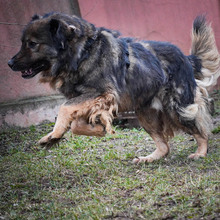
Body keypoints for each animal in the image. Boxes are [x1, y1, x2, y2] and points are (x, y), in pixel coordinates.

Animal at [7, 12, 219, 163]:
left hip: (177, 108)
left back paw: (201, 152)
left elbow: (64, 108)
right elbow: (75, 124)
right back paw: (149, 158)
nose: (9, 63)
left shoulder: (101, 93)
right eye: (23, 43)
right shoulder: (87, 99)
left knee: (201, 130)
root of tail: (186, 57)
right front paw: (96, 129)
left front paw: (56, 134)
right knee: (164, 146)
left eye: (32, 44)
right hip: (146, 113)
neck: (83, 53)